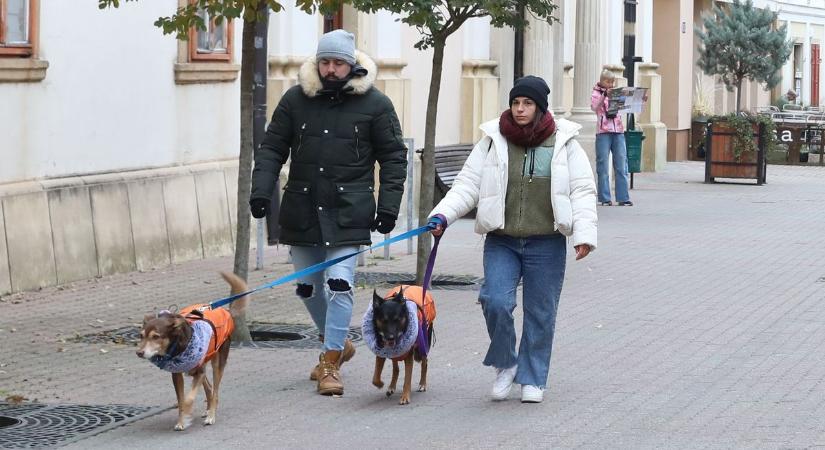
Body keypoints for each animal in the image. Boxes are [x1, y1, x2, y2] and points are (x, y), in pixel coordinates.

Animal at [135, 272, 248, 430]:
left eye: (156, 337)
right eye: (141, 335)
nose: (139, 353)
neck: (179, 346)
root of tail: (226, 311)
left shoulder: (198, 372)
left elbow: (188, 400)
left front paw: (188, 416)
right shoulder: (177, 375)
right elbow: (181, 400)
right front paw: (181, 421)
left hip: (217, 363)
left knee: (215, 391)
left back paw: (211, 416)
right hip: (200, 366)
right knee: (209, 387)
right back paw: (207, 410)